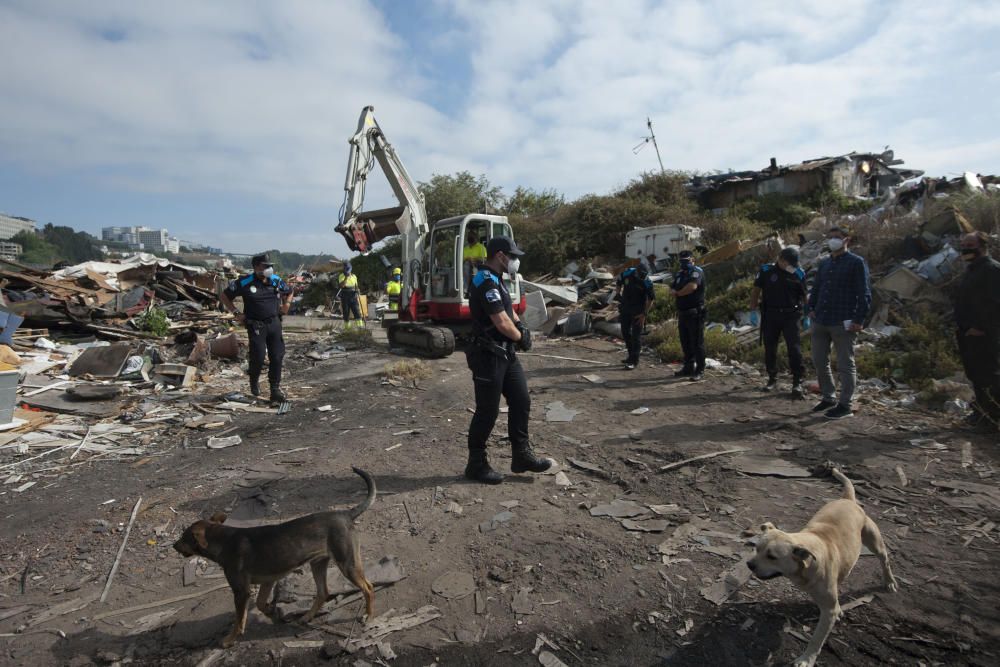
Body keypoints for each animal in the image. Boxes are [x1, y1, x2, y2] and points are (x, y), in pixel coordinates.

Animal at [174, 470, 376, 648]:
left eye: (183, 538)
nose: (173, 545)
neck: (223, 540)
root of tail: (346, 513)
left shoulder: (241, 591)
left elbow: (239, 620)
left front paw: (229, 639)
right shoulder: (268, 581)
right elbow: (260, 603)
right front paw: (271, 611)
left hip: (347, 564)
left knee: (368, 587)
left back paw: (368, 616)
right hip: (318, 563)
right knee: (323, 592)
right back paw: (306, 617)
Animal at [744, 468, 900, 667]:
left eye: (772, 557)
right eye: (756, 548)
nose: (749, 564)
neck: (806, 563)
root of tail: (848, 500)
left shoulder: (827, 612)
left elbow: (816, 639)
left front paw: (807, 659)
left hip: (875, 543)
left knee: (884, 561)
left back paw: (890, 581)